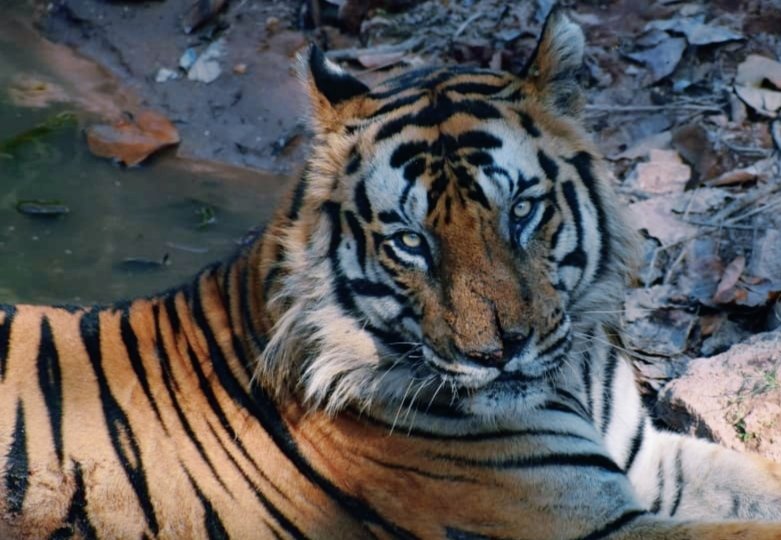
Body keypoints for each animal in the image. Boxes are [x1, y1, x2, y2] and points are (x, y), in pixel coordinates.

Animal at [2, 7, 781, 539]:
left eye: (521, 210)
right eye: (410, 242)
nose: (498, 353)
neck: (576, 380)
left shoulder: (648, 458)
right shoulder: (577, 522)